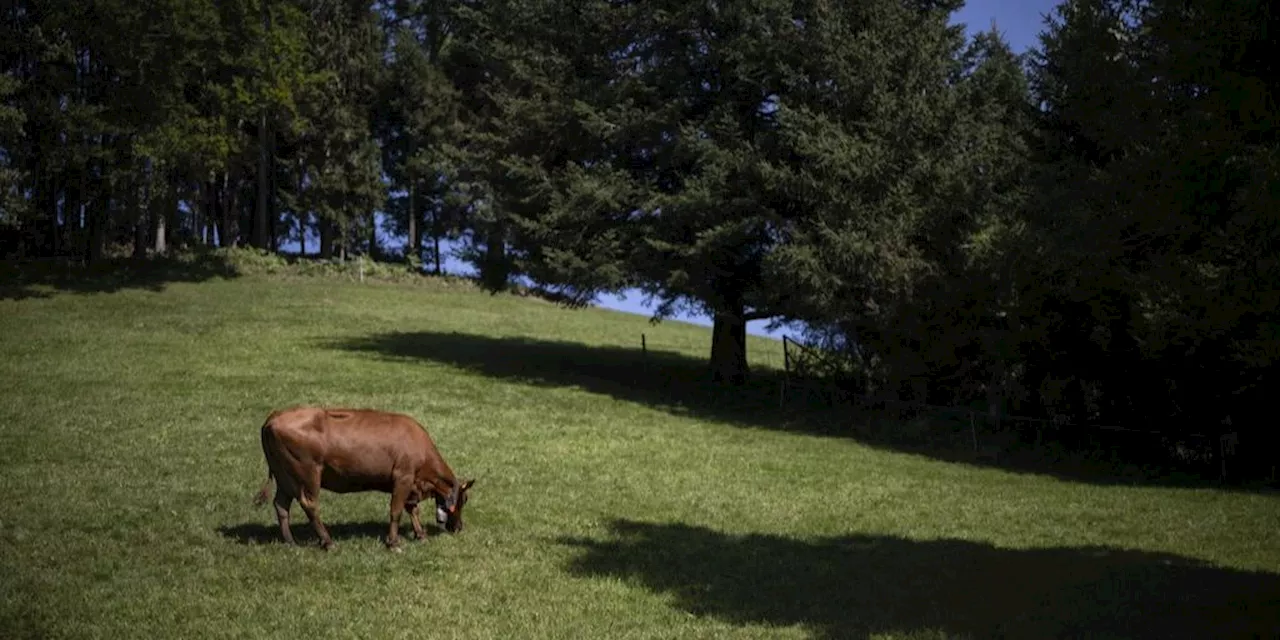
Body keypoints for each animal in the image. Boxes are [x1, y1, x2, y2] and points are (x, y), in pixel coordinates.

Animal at [249, 409, 476, 550]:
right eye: (464, 500)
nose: (459, 527)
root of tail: (274, 416)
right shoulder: (403, 477)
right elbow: (396, 511)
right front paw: (393, 543)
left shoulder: (411, 483)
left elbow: (412, 509)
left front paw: (420, 535)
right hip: (307, 474)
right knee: (310, 504)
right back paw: (328, 542)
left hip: (285, 477)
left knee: (281, 505)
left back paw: (290, 541)